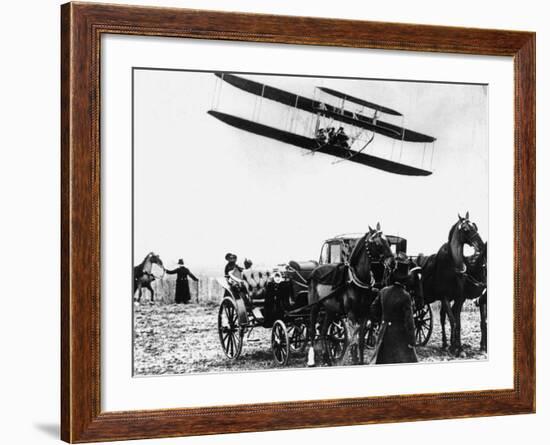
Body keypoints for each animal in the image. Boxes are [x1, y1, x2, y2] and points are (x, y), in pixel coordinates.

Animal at [306, 224, 396, 366]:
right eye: (377, 243)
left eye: (388, 241)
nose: (392, 263)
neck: (358, 281)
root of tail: (315, 270)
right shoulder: (351, 314)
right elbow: (353, 339)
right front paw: (354, 360)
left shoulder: (364, 314)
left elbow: (360, 340)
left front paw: (360, 361)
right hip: (314, 307)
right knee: (312, 331)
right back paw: (313, 360)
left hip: (330, 310)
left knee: (324, 331)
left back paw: (327, 360)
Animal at [420, 212, 486, 354]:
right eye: (466, 229)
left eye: (475, 226)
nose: (481, 245)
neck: (452, 267)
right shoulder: (445, 297)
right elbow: (453, 321)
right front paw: (455, 347)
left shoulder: (459, 298)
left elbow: (458, 322)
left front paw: (458, 347)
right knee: (439, 318)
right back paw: (446, 343)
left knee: (443, 316)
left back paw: (447, 343)